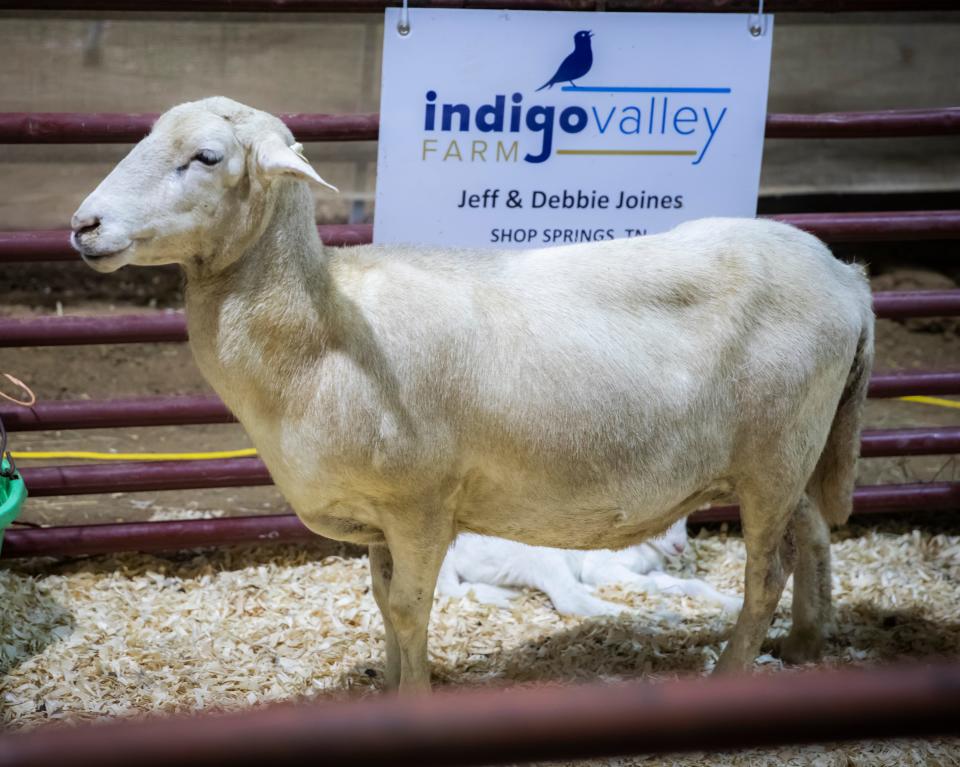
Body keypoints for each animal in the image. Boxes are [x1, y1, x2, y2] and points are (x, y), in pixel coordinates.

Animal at [436, 520, 744, 620]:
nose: (680, 547)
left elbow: (691, 584)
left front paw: (736, 603)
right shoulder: (602, 566)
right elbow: (648, 585)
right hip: (540, 553)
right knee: (569, 598)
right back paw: (657, 617)